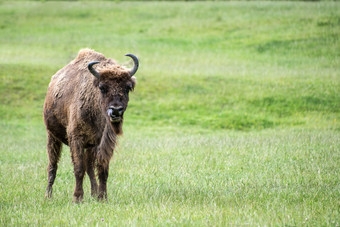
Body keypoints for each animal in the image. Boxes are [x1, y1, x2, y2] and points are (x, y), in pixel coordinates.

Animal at [43, 48, 139, 201]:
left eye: (127, 87)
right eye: (102, 87)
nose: (116, 110)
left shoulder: (103, 142)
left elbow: (102, 169)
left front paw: (102, 198)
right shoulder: (76, 139)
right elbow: (78, 169)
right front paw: (77, 198)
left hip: (89, 146)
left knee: (89, 168)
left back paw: (93, 194)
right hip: (52, 136)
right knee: (52, 166)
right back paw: (48, 195)